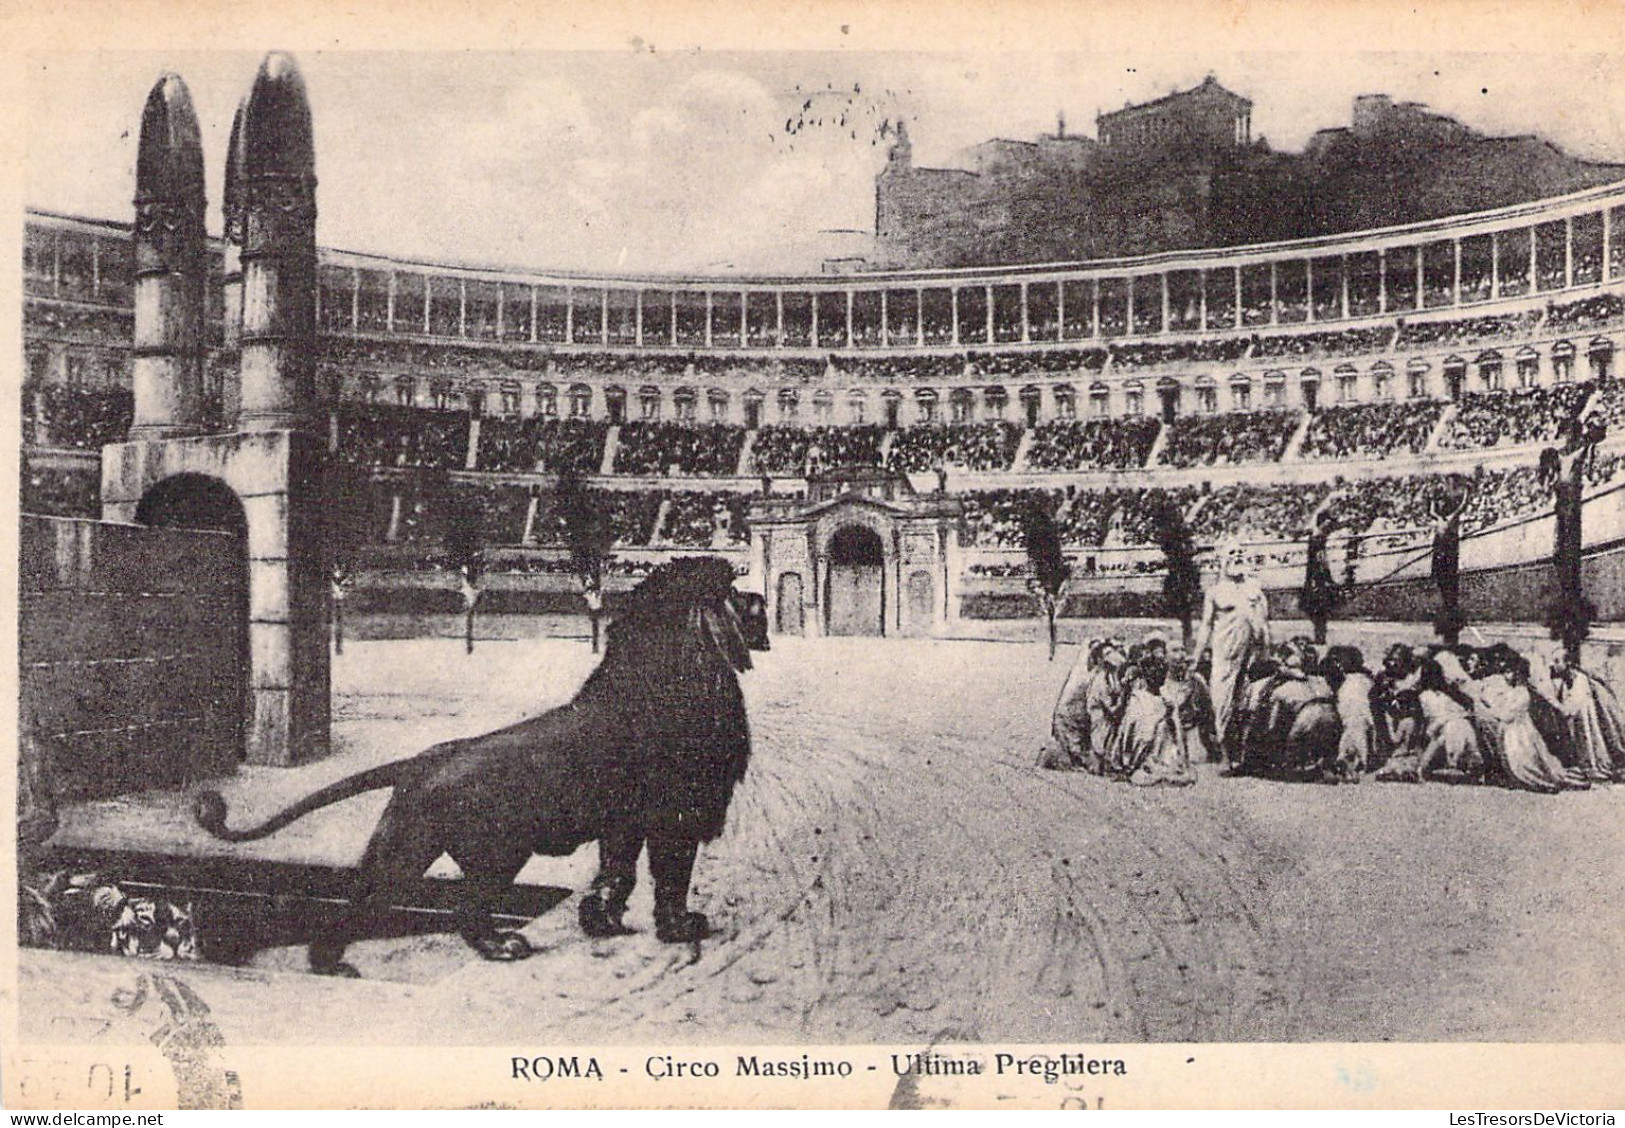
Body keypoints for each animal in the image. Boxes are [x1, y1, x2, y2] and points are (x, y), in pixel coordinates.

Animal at [195, 562, 767, 975]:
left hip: (405, 844)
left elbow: (615, 877)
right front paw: (683, 927)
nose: (760, 600)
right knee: (465, 910)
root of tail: (423, 759)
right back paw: (500, 947)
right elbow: (671, 877)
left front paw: (603, 924)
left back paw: (328, 964)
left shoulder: (624, 824)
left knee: (362, 901)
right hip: (492, 852)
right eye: (734, 592)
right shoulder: (680, 814)